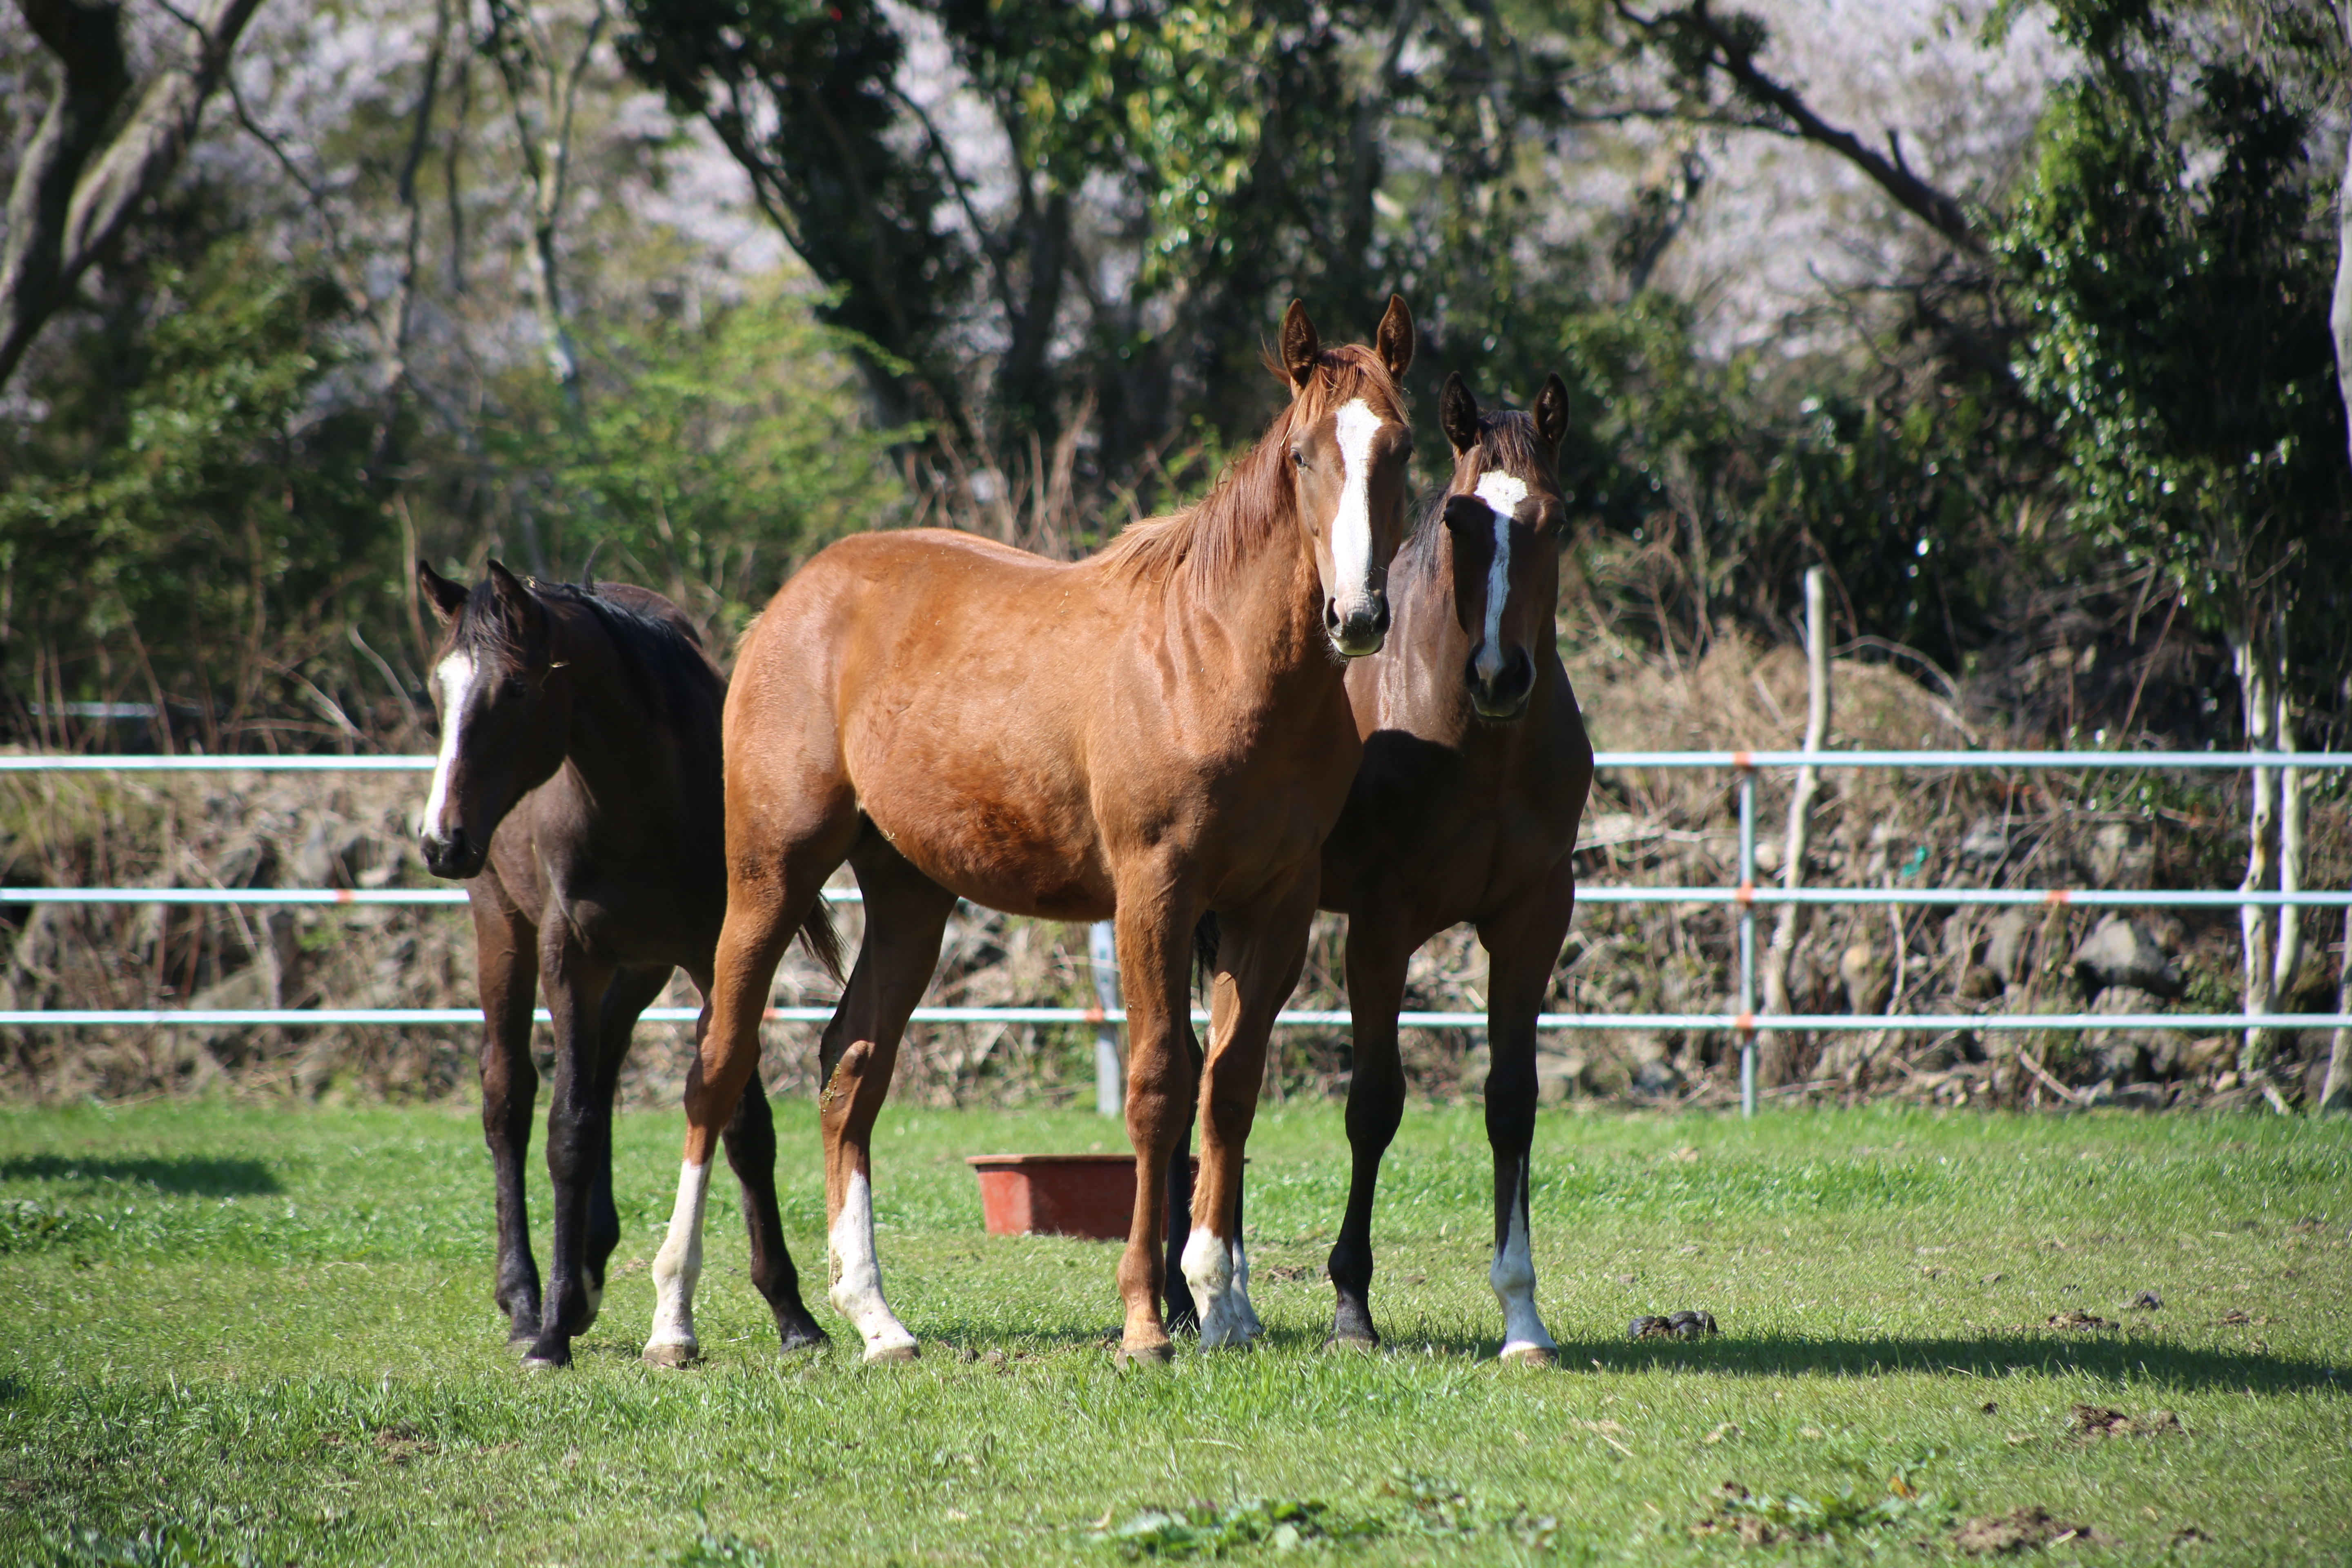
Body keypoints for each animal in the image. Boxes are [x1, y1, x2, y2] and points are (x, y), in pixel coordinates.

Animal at [419, 561, 842, 1363]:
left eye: (515, 688)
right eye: (438, 687)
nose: (439, 839)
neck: (644, 797)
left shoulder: (716, 953)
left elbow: (744, 1126)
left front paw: (794, 1315)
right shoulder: (568, 955)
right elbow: (569, 1129)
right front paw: (552, 1332)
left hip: (640, 965)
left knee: (606, 1063)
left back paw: (589, 1261)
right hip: (504, 928)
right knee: (508, 1094)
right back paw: (526, 1298)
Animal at [639, 301, 1411, 1363]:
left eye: (1400, 448)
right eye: (1302, 455)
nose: (1357, 615)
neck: (1215, 657)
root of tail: (792, 602)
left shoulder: (1275, 909)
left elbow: (1230, 1089)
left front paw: (1223, 1306)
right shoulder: (1155, 893)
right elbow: (1160, 1086)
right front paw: (1145, 1320)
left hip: (910, 898)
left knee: (850, 1070)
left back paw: (876, 1318)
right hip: (770, 871)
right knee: (716, 1068)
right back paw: (673, 1319)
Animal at [1317, 371, 1590, 1363]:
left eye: (1556, 520)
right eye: (1459, 524)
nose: (1500, 677)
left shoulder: (1534, 917)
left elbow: (1512, 1100)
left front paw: (1522, 1315)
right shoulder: (1380, 925)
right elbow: (1374, 1103)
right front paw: (1351, 1305)